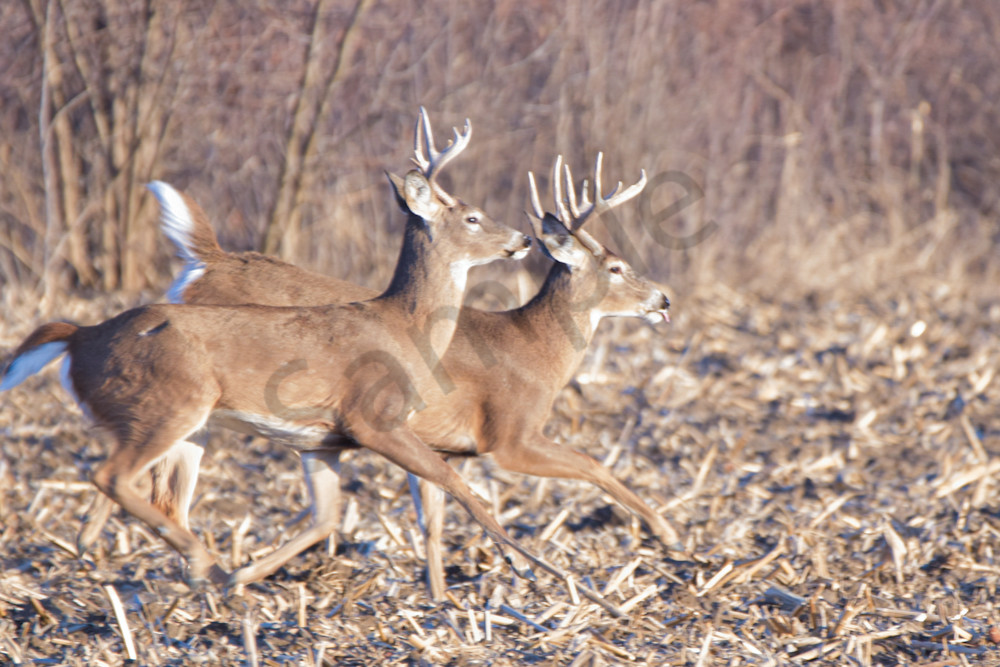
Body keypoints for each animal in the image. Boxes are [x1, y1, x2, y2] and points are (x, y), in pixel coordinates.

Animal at [0, 109, 547, 592]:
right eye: (473, 217)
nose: (524, 239)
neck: (403, 326)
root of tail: (80, 337)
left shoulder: (323, 441)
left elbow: (327, 519)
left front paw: (248, 575)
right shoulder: (374, 416)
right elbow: (461, 487)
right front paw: (533, 567)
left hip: (183, 421)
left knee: (158, 493)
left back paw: (200, 571)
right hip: (166, 403)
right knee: (112, 475)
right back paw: (199, 562)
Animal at [76, 150, 679, 601]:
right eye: (618, 267)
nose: (664, 299)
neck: (534, 349)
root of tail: (205, 262)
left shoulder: (447, 446)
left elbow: (433, 520)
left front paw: (442, 599)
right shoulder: (508, 435)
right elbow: (594, 465)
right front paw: (669, 535)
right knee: (144, 471)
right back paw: (106, 551)